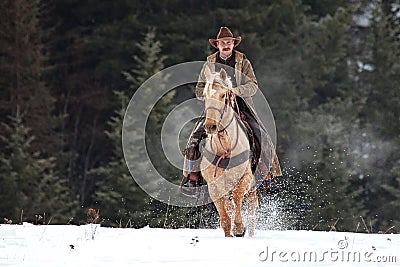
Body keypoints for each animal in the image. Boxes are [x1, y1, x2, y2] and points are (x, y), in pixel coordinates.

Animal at [200, 68, 260, 238]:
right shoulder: (214, 187)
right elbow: (225, 216)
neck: (225, 149)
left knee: (251, 208)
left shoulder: (245, 178)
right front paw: (230, 232)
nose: (211, 126)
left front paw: (239, 228)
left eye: (223, 95)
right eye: (205, 95)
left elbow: (238, 197)